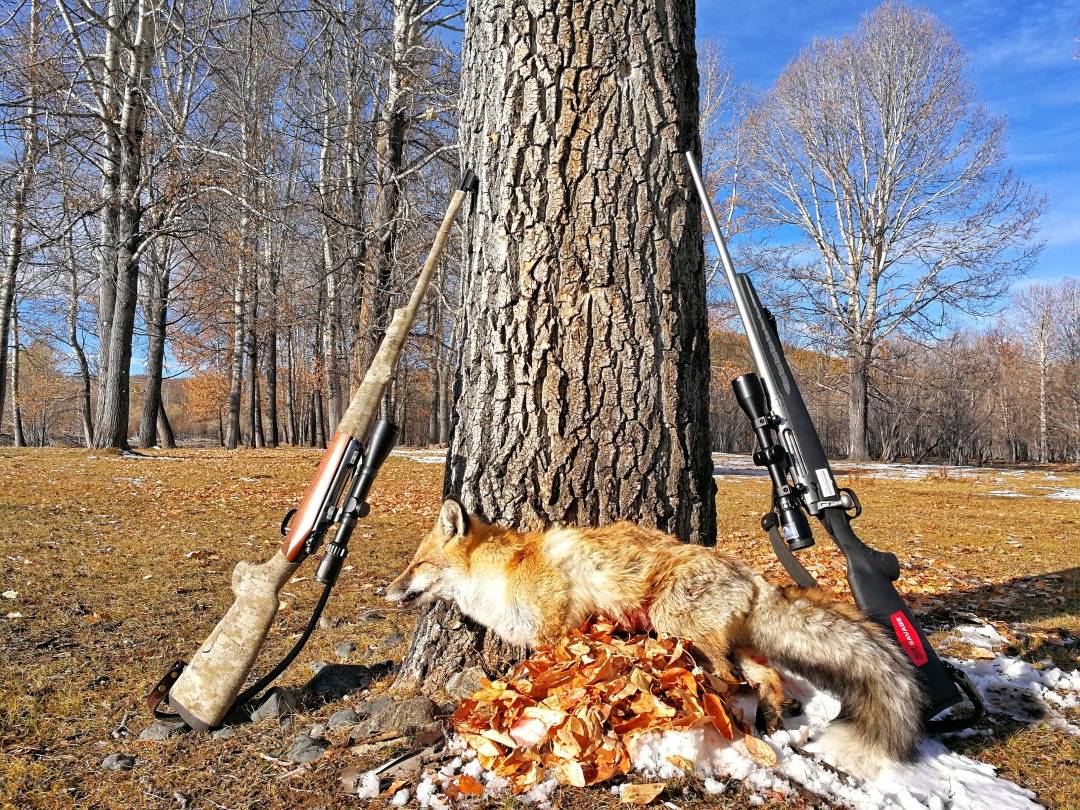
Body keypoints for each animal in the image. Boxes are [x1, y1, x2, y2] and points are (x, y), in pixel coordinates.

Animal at [384, 498, 924, 777]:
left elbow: (539, 680)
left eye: (416, 565)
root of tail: (753, 577)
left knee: (727, 678)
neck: (502, 577)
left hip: (674, 622)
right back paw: (771, 720)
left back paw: (722, 708)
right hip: (730, 643)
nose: (387, 591)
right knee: (766, 677)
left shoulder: (556, 631)